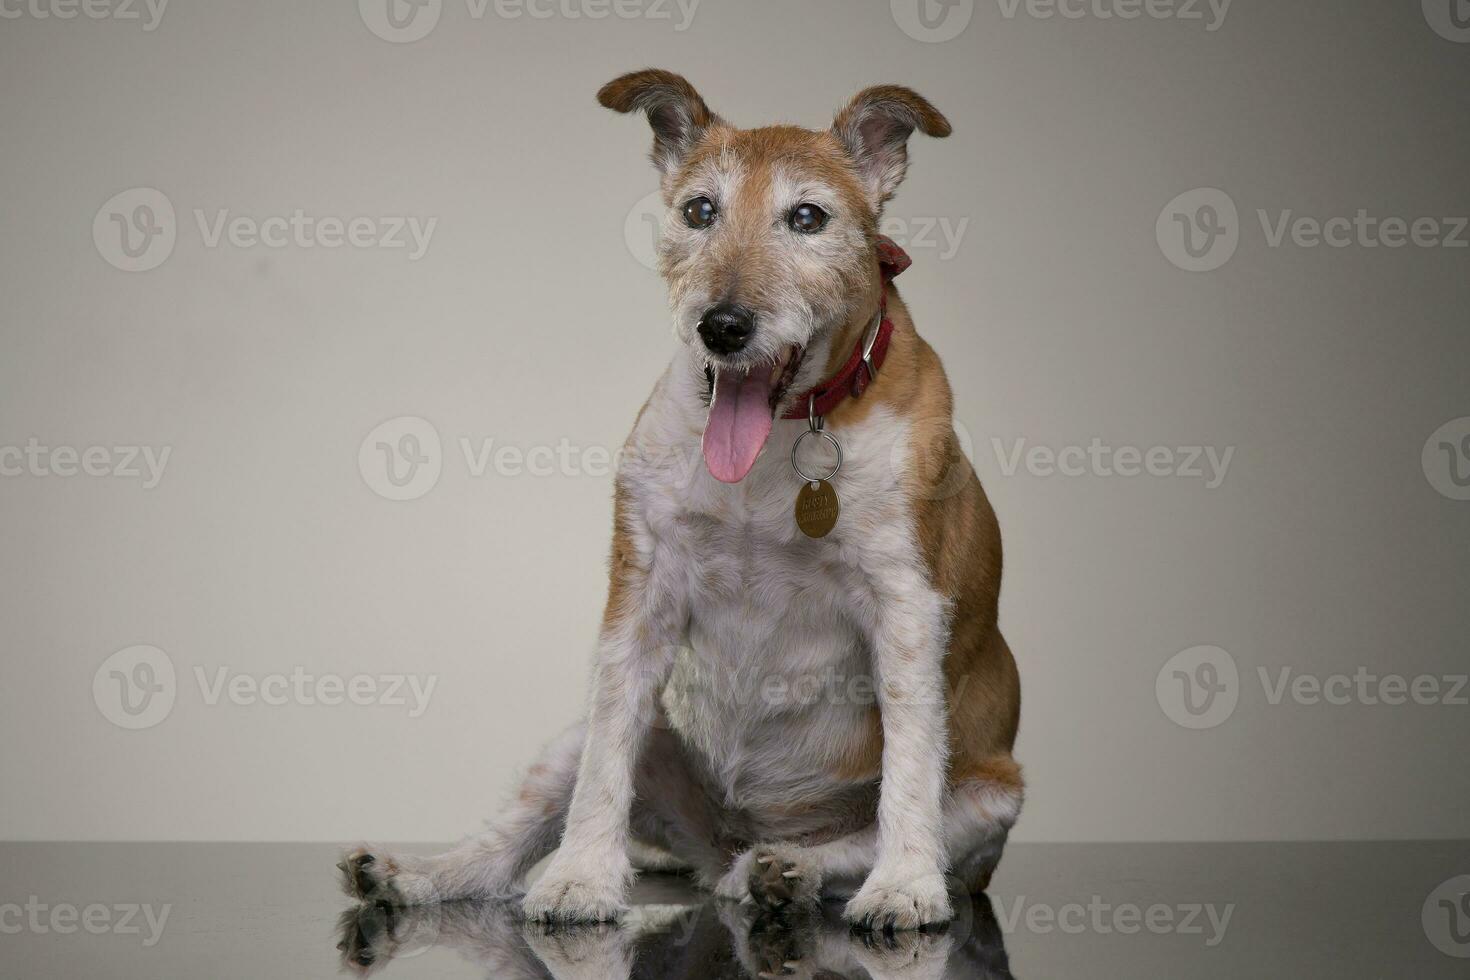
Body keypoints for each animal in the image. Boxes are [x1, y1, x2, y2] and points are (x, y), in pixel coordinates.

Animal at [339, 67, 1023, 934]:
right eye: (700, 210)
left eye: (808, 218)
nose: (723, 326)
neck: (781, 444)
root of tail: (723, 842)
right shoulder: (639, 600)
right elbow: (606, 760)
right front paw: (581, 878)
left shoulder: (905, 607)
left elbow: (907, 766)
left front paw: (904, 885)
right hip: (588, 744)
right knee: (511, 841)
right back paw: (415, 875)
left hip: (990, 802)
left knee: (854, 842)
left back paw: (789, 869)